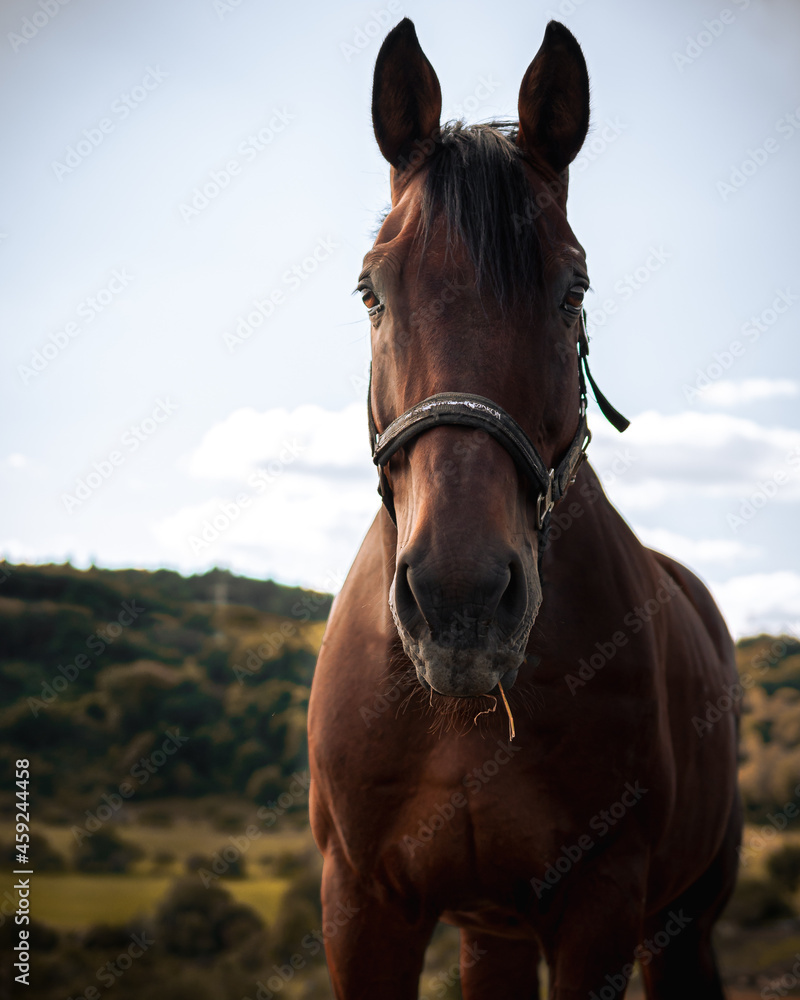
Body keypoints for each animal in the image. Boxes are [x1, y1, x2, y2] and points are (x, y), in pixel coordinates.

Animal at [308, 18, 741, 999]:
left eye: (572, 288)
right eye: (371, 289)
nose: (459, 600)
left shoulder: (601, 910)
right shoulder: (361, 908)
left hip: (682, 921)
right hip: (492, 931)